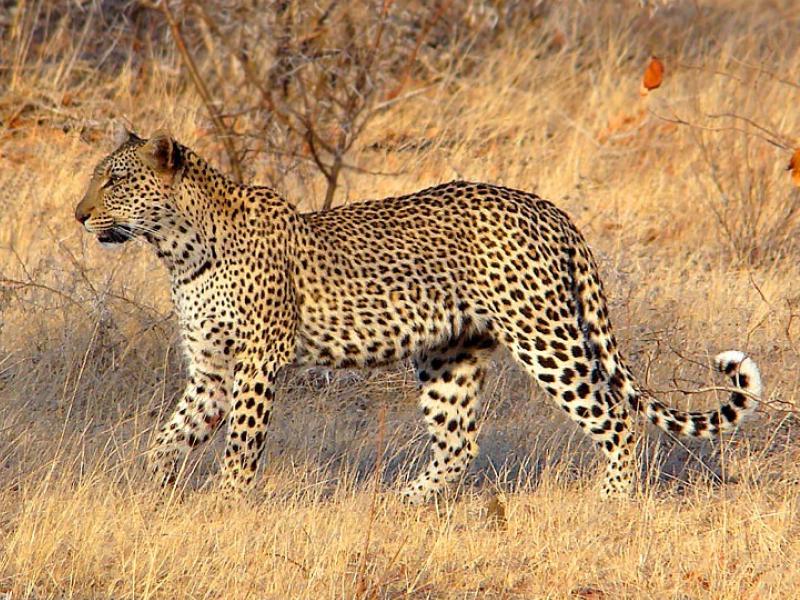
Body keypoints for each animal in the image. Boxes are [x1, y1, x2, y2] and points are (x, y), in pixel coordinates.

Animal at [74, 129, 763, 502]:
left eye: (115, 181)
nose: (79, 214)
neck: (178, 249)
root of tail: (548, 207)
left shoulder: (258, 362)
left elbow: (241, 445)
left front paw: (227, 505)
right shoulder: (211, 370)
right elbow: (169, 437)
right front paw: (148, 492)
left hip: (545, 336)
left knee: (616, 418)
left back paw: (610, 504)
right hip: (449, 354)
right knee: (459, 441)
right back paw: (403, 504)